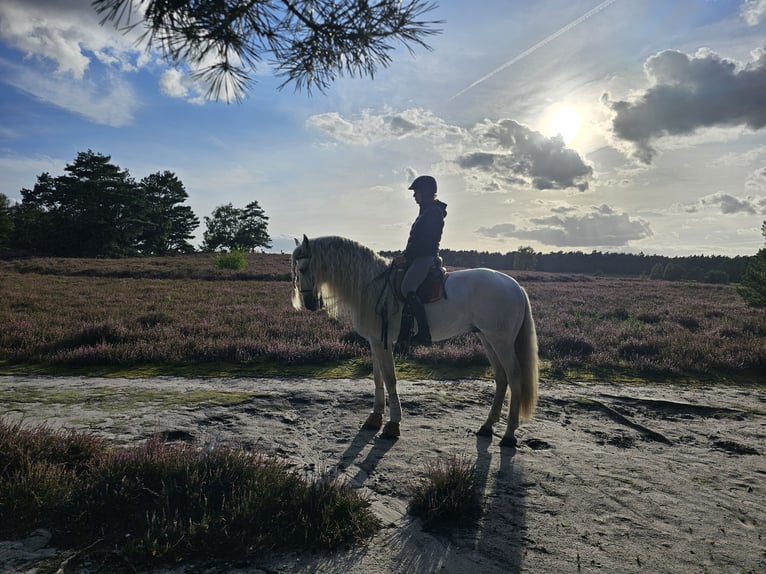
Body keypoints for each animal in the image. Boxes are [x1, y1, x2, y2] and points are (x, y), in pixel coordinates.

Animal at [292, 235, 540, 450]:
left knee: (514, 377)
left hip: (501, 341)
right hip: (487, 339)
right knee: (501, 378)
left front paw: (392, 424)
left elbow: (390, 379)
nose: (310, 304)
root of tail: (516, 286)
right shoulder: (375, 342)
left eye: (303, 268)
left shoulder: (384, 343)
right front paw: (375, 417)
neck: (371, 285)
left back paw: (509, 435)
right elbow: (378, 377)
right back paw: (487, 427)